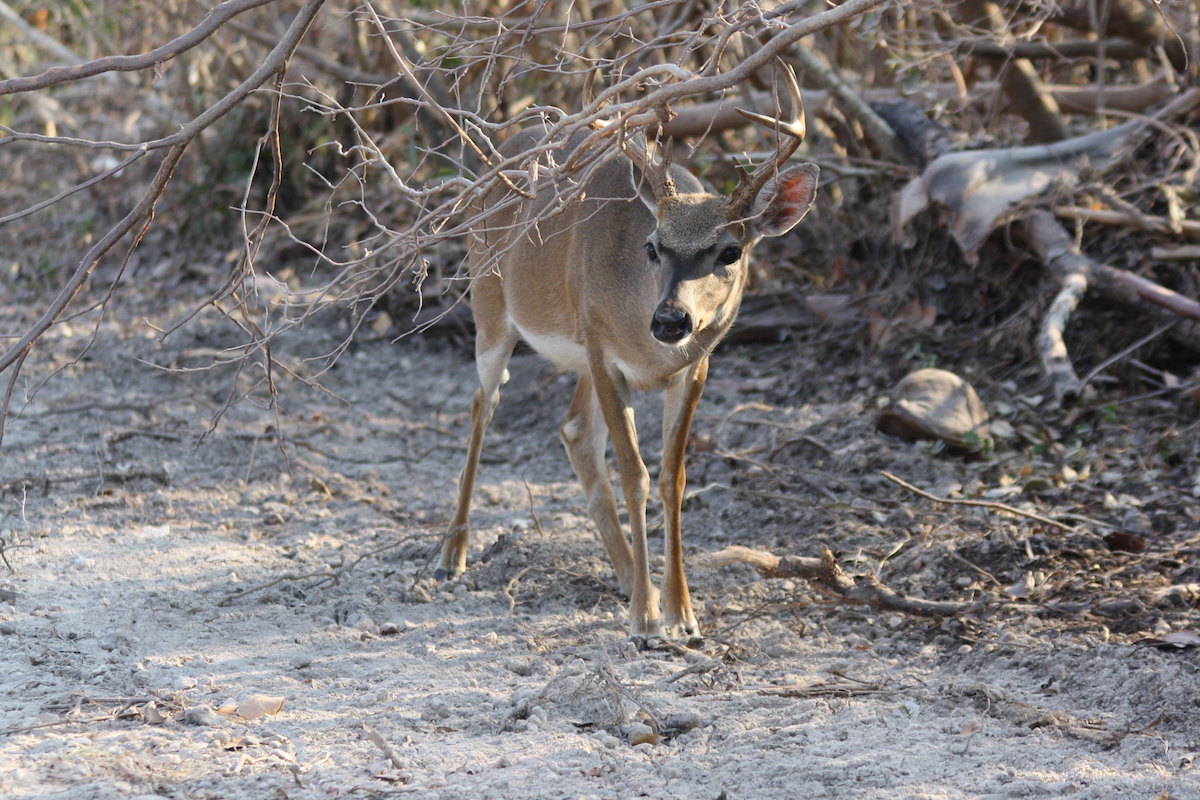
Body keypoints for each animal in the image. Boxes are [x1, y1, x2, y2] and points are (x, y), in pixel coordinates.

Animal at [436, 84, 820, 642]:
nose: (671, 320)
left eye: (730, 251)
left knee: (574, 430)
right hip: (489, 303)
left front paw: (681, 613)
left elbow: (672, 479)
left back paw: (624, 574)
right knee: (482, 405)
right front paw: (645, 619)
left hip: (574, 354)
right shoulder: (604, 353)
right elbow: (635, 475)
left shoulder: (694, 368)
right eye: (652, 247)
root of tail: (504, 154)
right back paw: (452, 555)